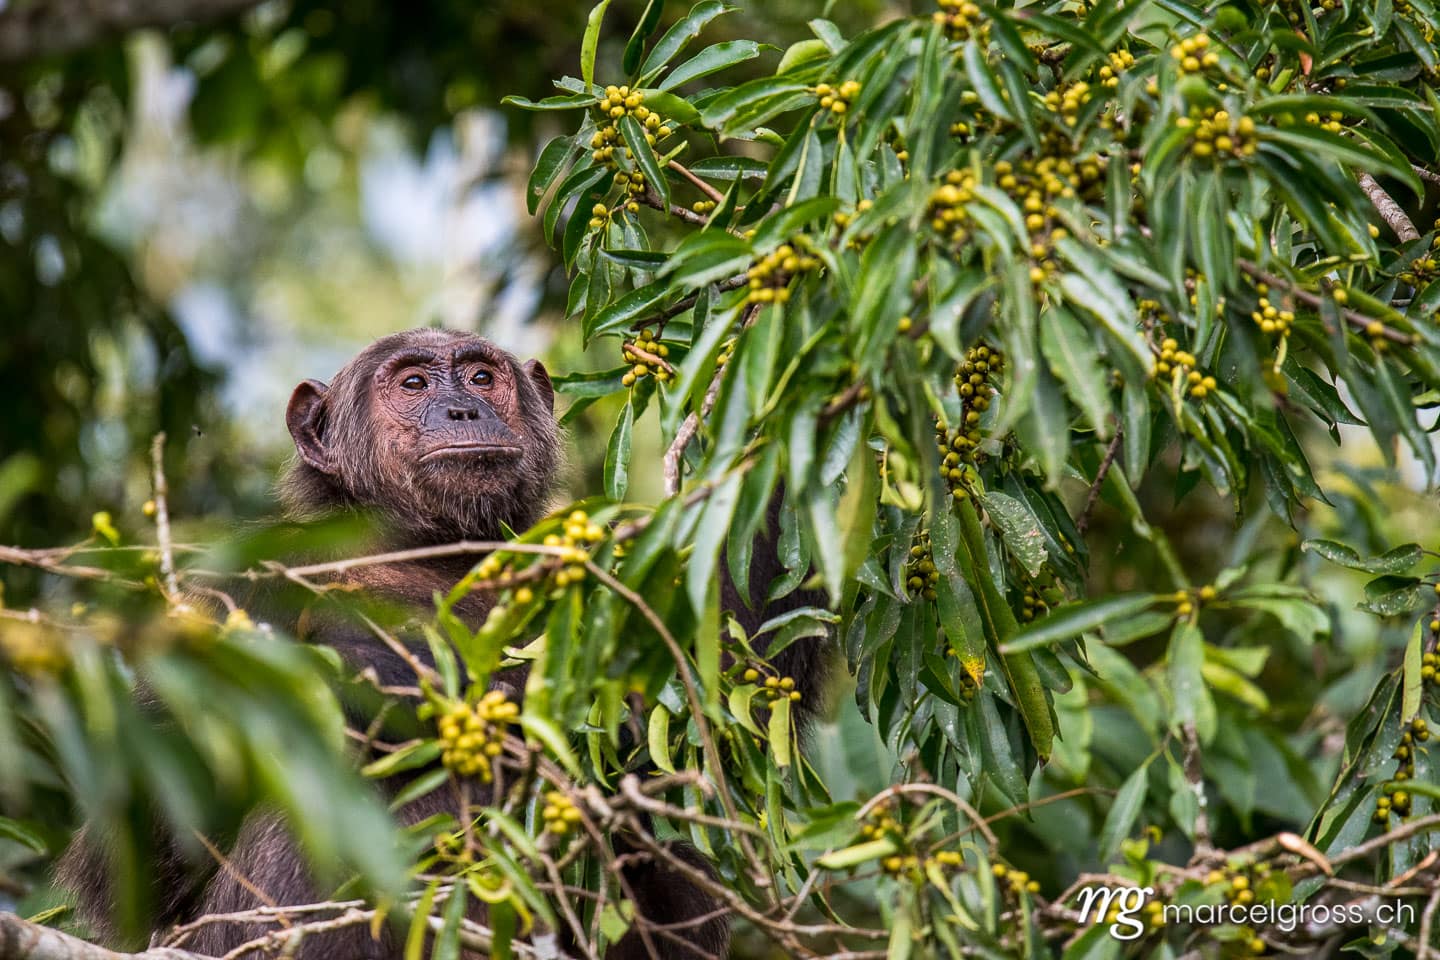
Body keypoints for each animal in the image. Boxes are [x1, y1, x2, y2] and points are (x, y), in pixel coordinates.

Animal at [58, 327, 830, 959]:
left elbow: (724, 678)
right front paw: (377, 668)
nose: (463, 411)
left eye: (482, 376)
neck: (431, 545)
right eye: (413, 384)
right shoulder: (232, 588)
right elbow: (135, 855)